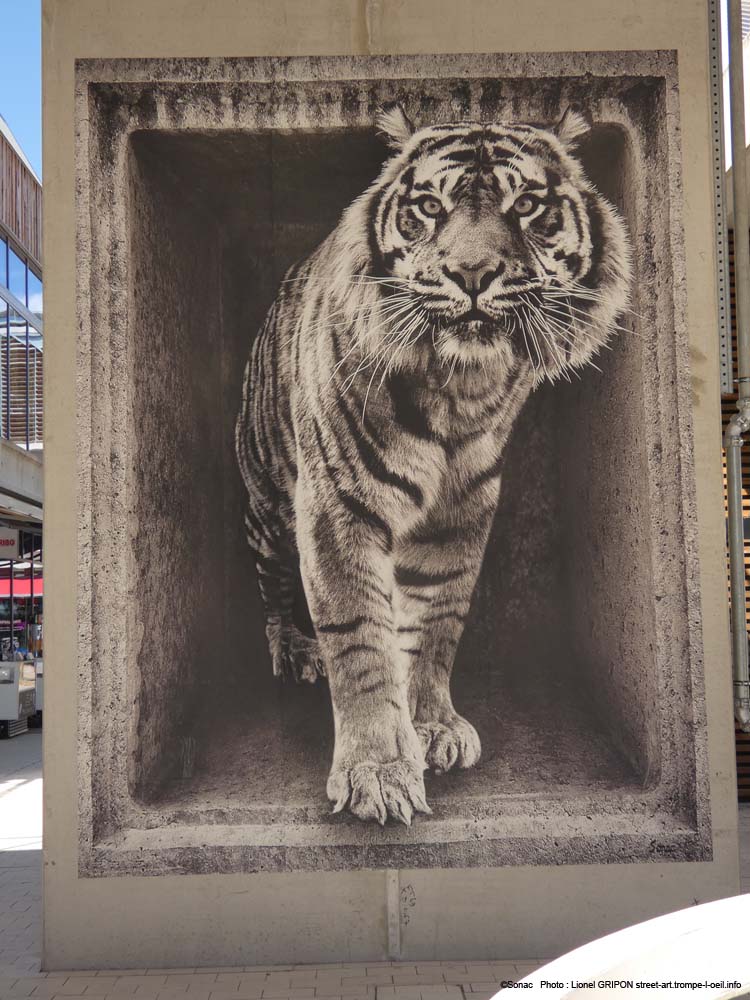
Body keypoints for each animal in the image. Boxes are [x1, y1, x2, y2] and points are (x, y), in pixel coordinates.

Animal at [235, 103, 631, 826]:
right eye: (428, 206)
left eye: (526, 205)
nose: (472, 274)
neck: (458, 389)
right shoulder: (335, 507)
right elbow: (359, 639)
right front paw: (377, 773)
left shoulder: (460, 510)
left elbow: (436, 621)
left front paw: (430, 728)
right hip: (269, 507)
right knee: (273, 584)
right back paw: (294, 649)